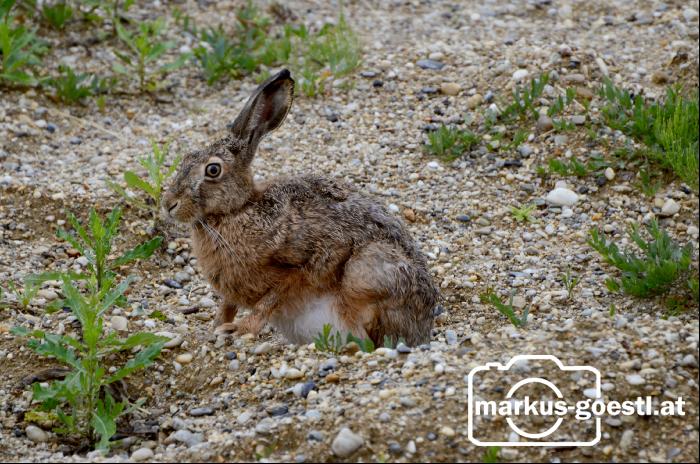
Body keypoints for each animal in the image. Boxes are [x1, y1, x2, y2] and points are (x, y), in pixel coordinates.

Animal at [162, 69, 439, 346]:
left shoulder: (305, 264)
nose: (168, 205)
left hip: (367, 272)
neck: (238, 210)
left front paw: (239, 329)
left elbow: (269, 301)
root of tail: (421, 330)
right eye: (186, 158)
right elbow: (227, 306)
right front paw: (216, 328)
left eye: (213, 170)